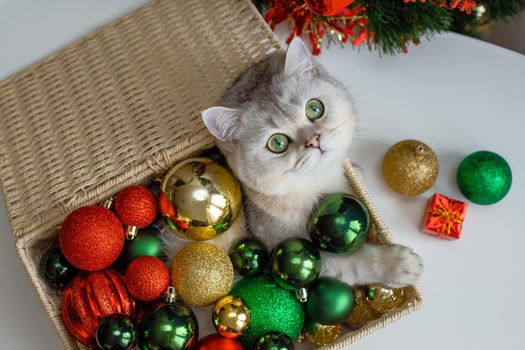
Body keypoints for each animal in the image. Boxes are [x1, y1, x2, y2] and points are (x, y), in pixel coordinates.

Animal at [201, 37, 422, 288]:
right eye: (277, 143)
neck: (321, 182)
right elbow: (352, 263)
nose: (313, 141)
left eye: (314, 108)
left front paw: (357, 172)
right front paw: (396, 264)